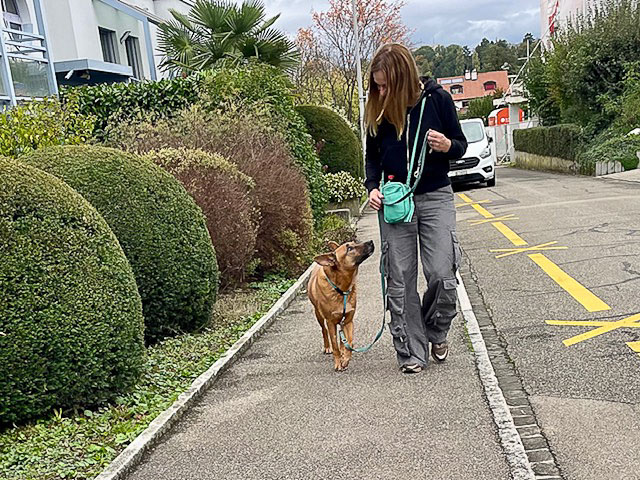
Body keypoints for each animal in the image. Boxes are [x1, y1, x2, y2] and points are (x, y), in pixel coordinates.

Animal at [306, 240, 372, 372]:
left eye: (354, 242)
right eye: (349, 248)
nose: (371, 242)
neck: (341, 289)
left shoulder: (348, 320)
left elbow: (350, 342)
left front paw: (345, 359)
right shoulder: (330, 322)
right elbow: (335, 344)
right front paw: (338, 363)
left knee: (343, 339)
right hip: (319, 315)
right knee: (324, 330)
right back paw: (327, 347)